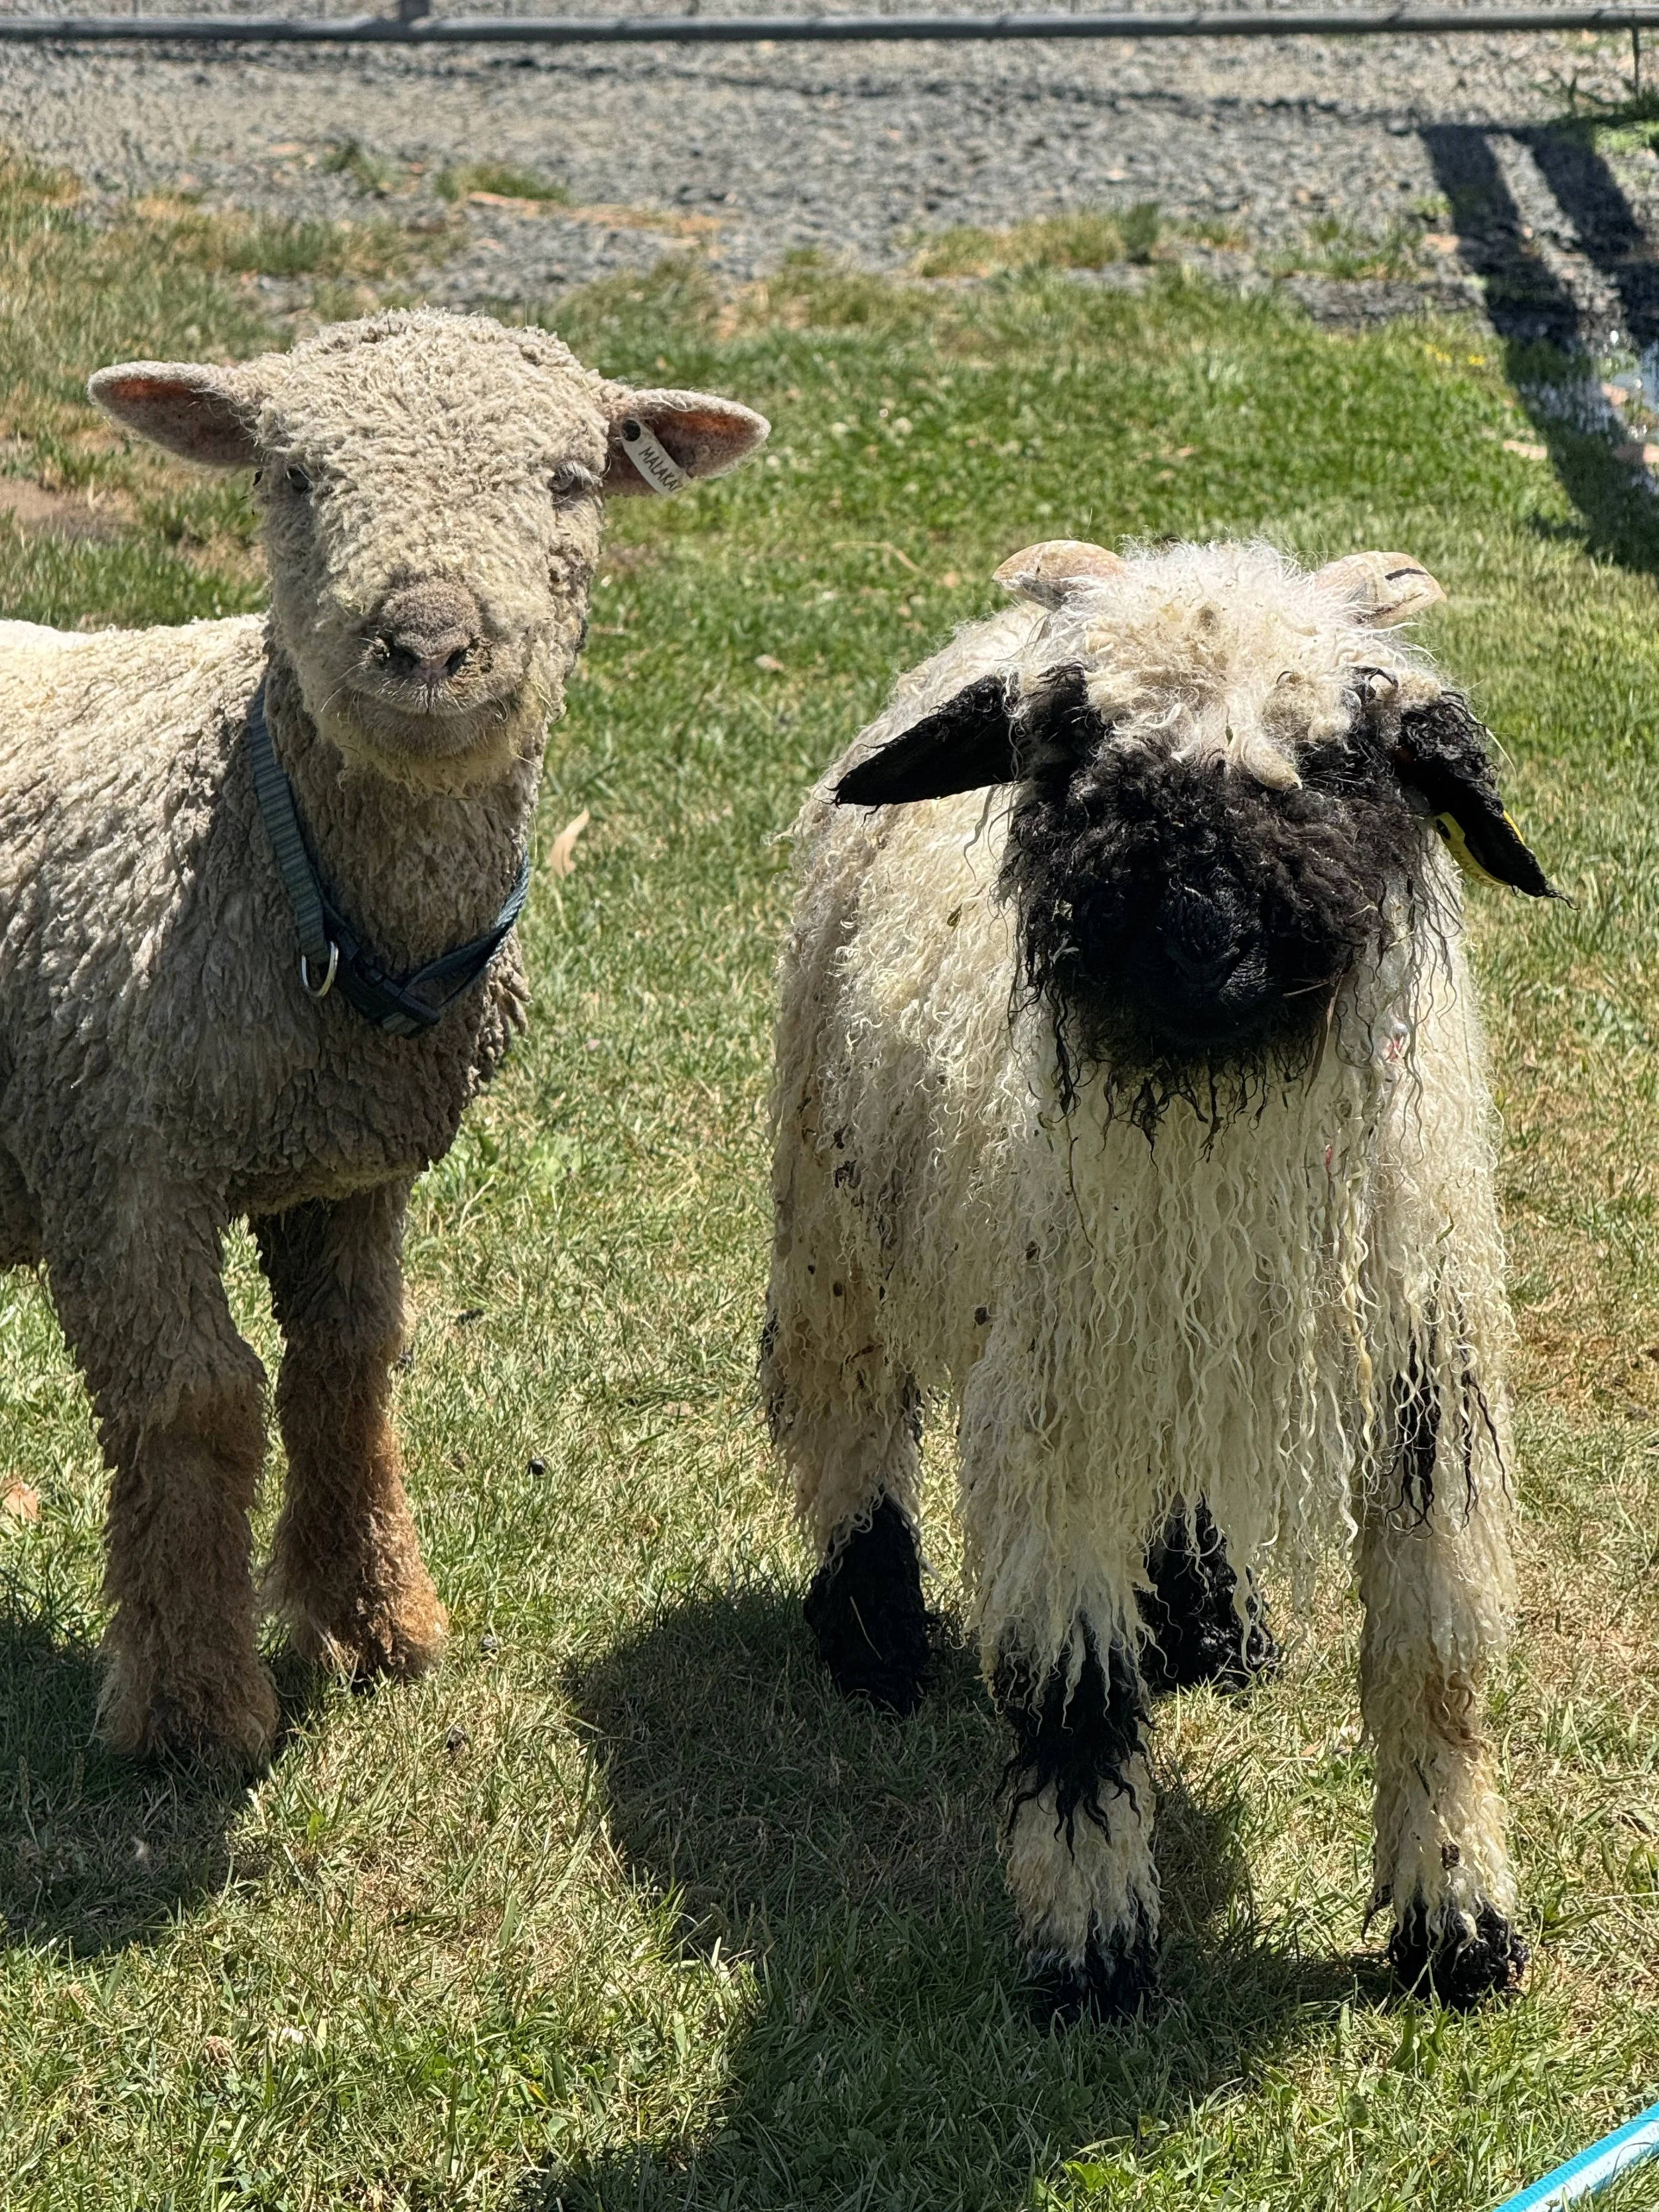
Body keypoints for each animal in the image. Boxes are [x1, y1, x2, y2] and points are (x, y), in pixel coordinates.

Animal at [0, 308, 767, 1764]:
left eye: (568, 479)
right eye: (292, 475)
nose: (424, 640)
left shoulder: (350, 1168)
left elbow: (347, 1370)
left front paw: (373, 1619)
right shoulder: (117, 1155)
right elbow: (194, 1400)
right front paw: (191, 1700)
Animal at [761, 538, 1556, 2021]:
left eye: (1342, 757)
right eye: (1075, 748)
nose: (1198, 937)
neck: (1217, 1117)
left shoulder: (1425, 1382)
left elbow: (1434, 1662)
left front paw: (1461, 1924)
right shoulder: (1050, 1403)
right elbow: (1073, 1689)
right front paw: (1091, 1954)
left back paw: (1204, 1619)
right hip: (833, 1216)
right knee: (844, 1415)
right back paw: (874, 1631)